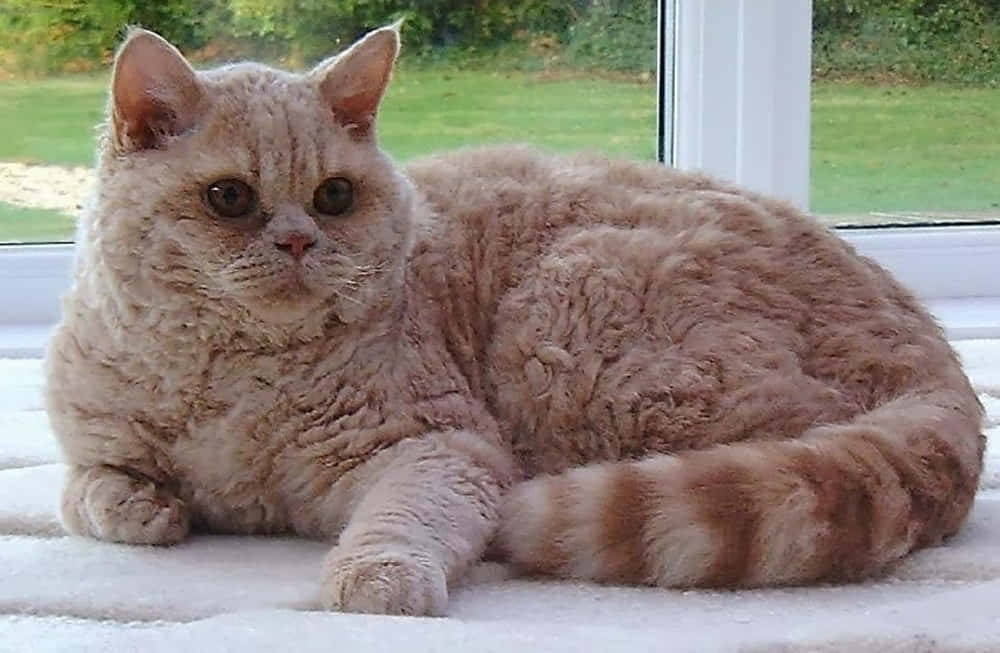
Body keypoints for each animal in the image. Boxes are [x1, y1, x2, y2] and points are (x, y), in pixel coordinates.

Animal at [45, 25, 984, 616]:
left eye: (335, 195)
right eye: (229, 198)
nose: (301, 239)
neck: (232, 381)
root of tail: (929, 345)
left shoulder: (442, 444)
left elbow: (404, 517)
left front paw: (377, 576)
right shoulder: (92, 446)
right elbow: (86, 493)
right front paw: (145, 508)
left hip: (575, 329)